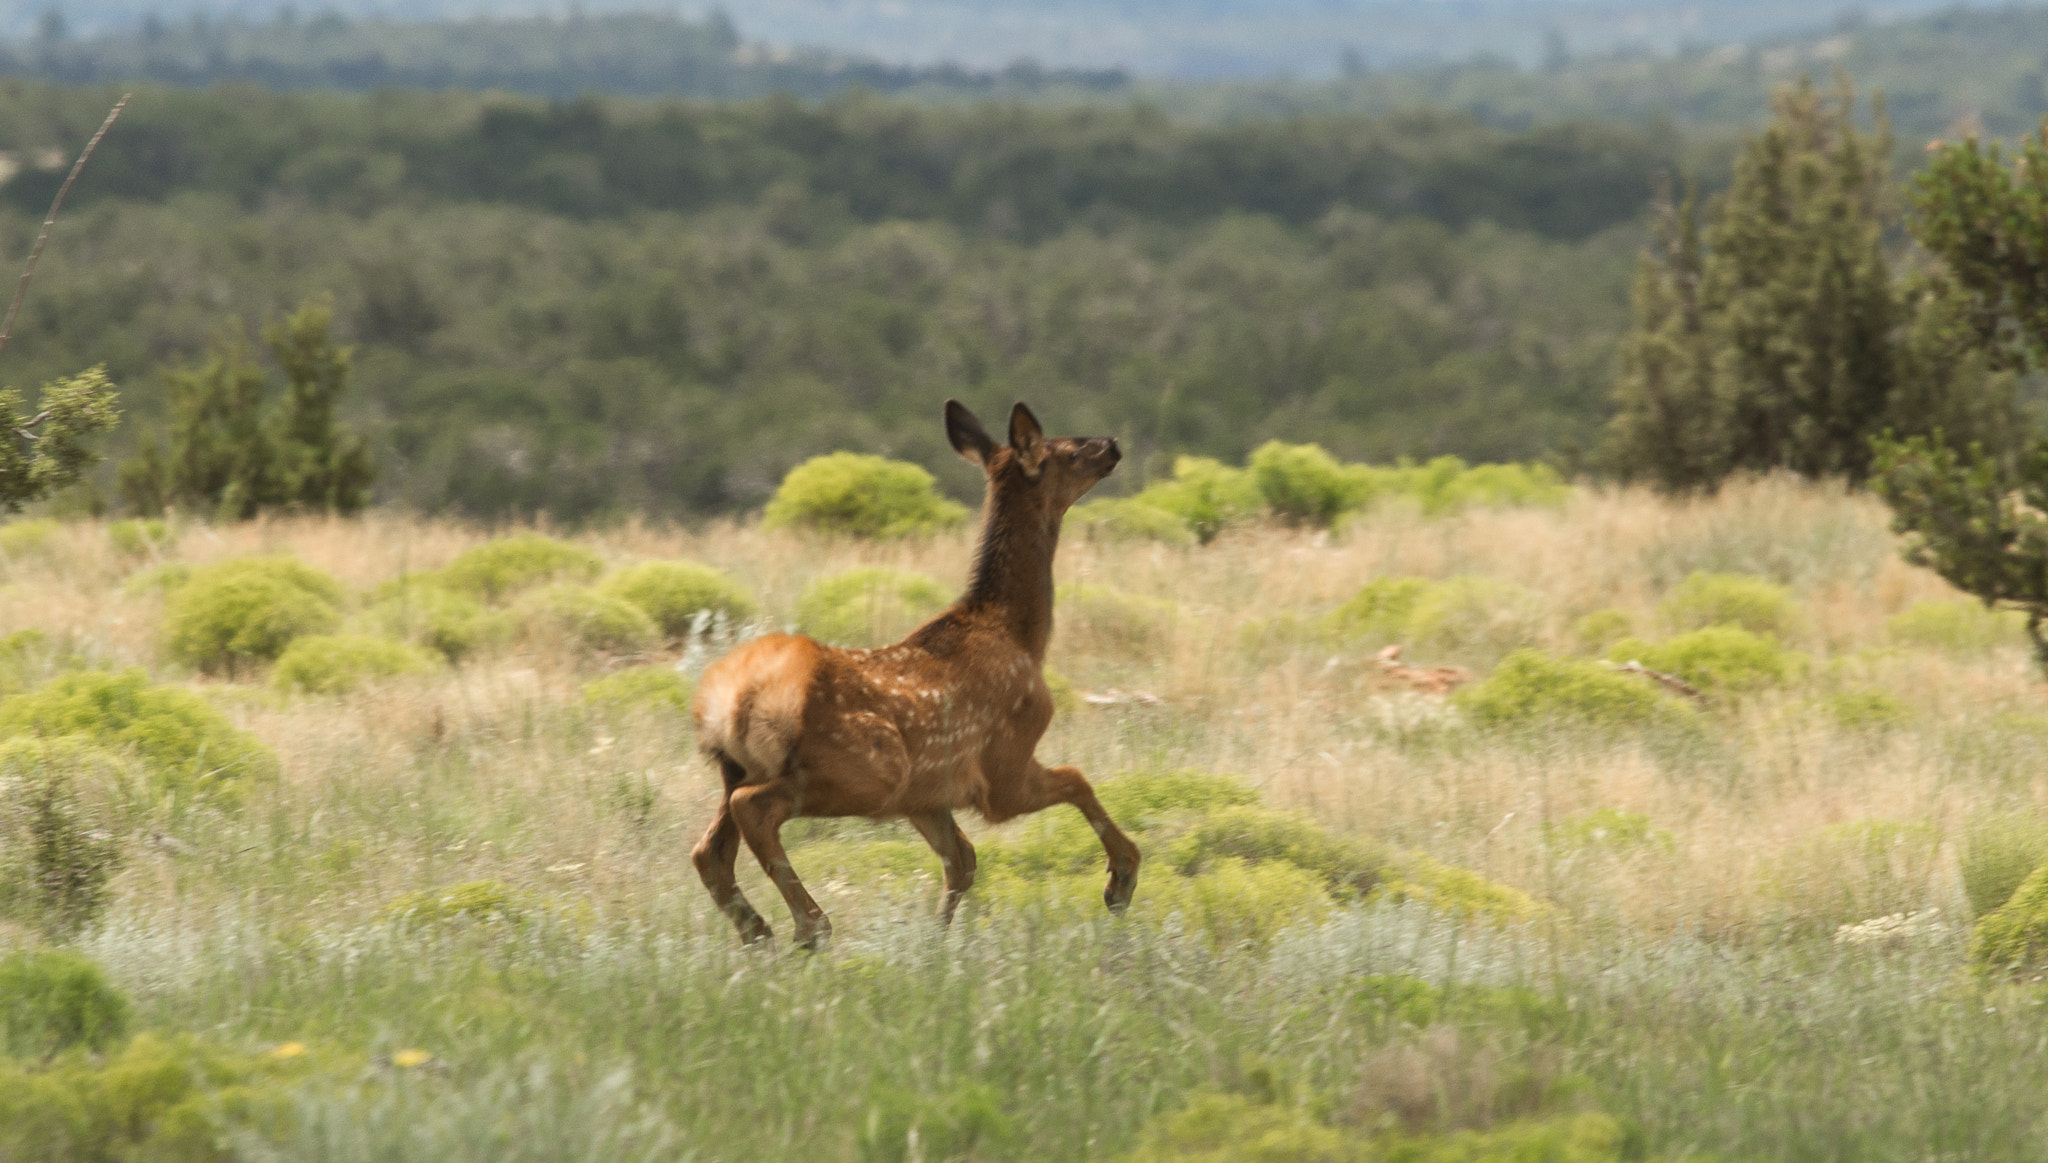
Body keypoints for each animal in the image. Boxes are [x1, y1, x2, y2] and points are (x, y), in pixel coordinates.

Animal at [688, 399, 1138, 945]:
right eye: (1070, 451)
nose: (1112, 444)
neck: (1019, 636)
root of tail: (730, 704)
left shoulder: (928, 796)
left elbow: (962, 860)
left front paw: (936, 943)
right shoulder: (1003, 767)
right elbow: (1077, 779)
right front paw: (1121, 881)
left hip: (739, 769)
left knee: (708, 851)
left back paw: (760, 933)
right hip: (866, 769)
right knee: (753, 809)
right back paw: (810, 928)